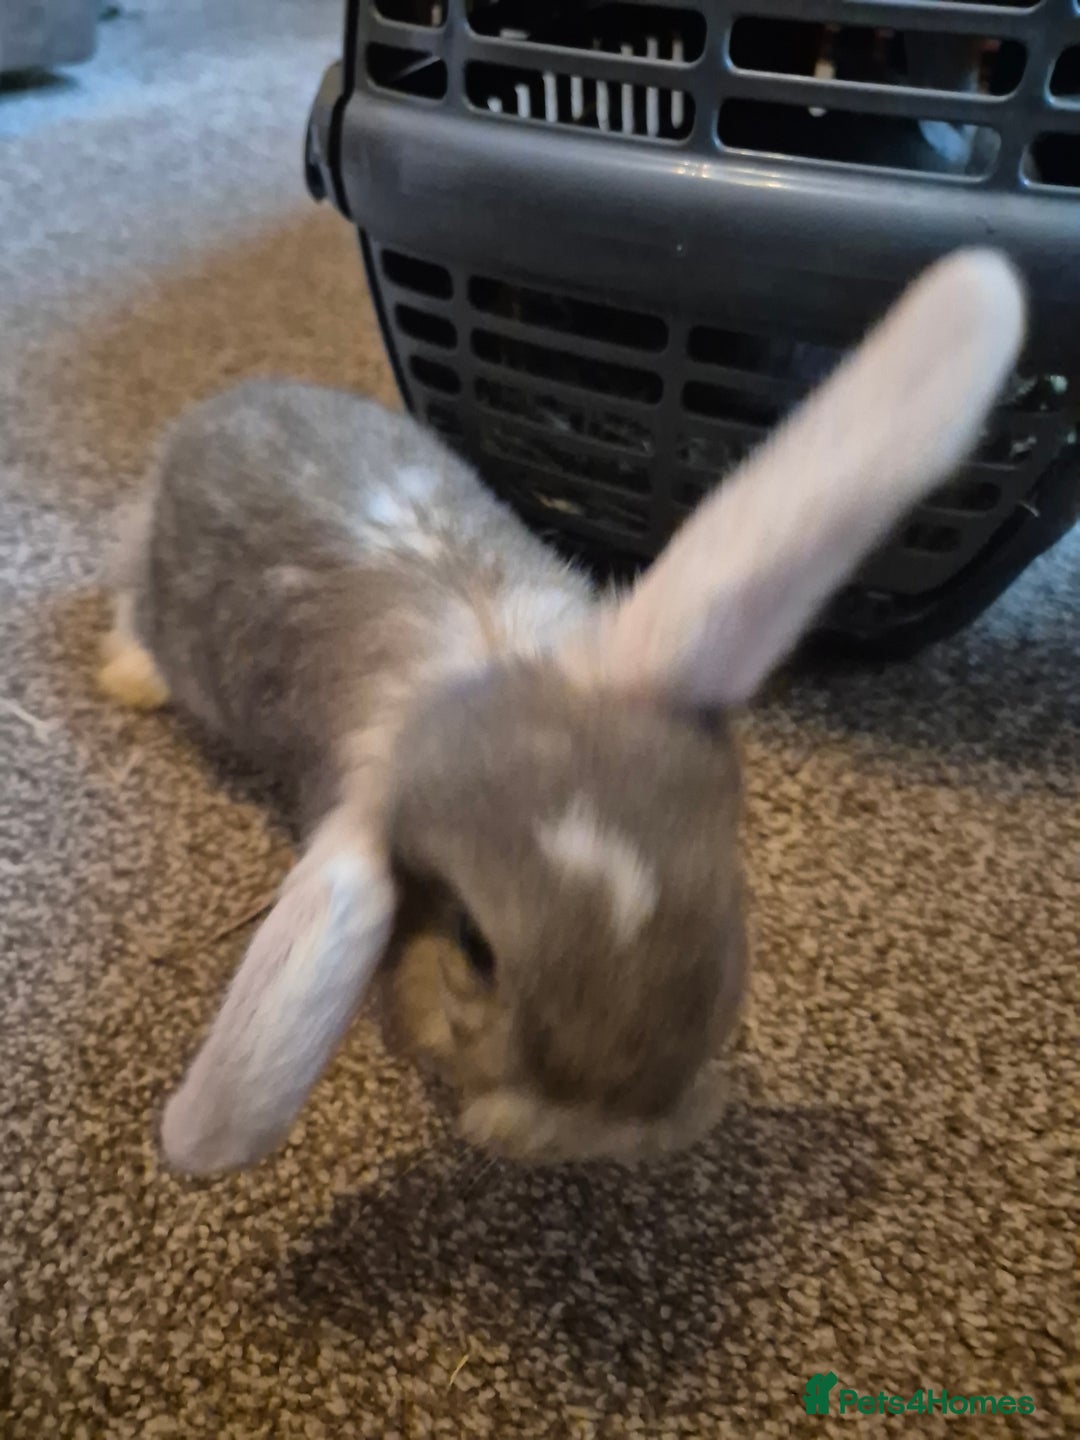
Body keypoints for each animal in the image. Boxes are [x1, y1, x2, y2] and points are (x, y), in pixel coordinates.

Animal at [98, 249, 1025, 1176]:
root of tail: (207, 415)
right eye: (473, 945)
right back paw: (130, 677)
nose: (606, 1136)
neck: (488, 663)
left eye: (725, 893)